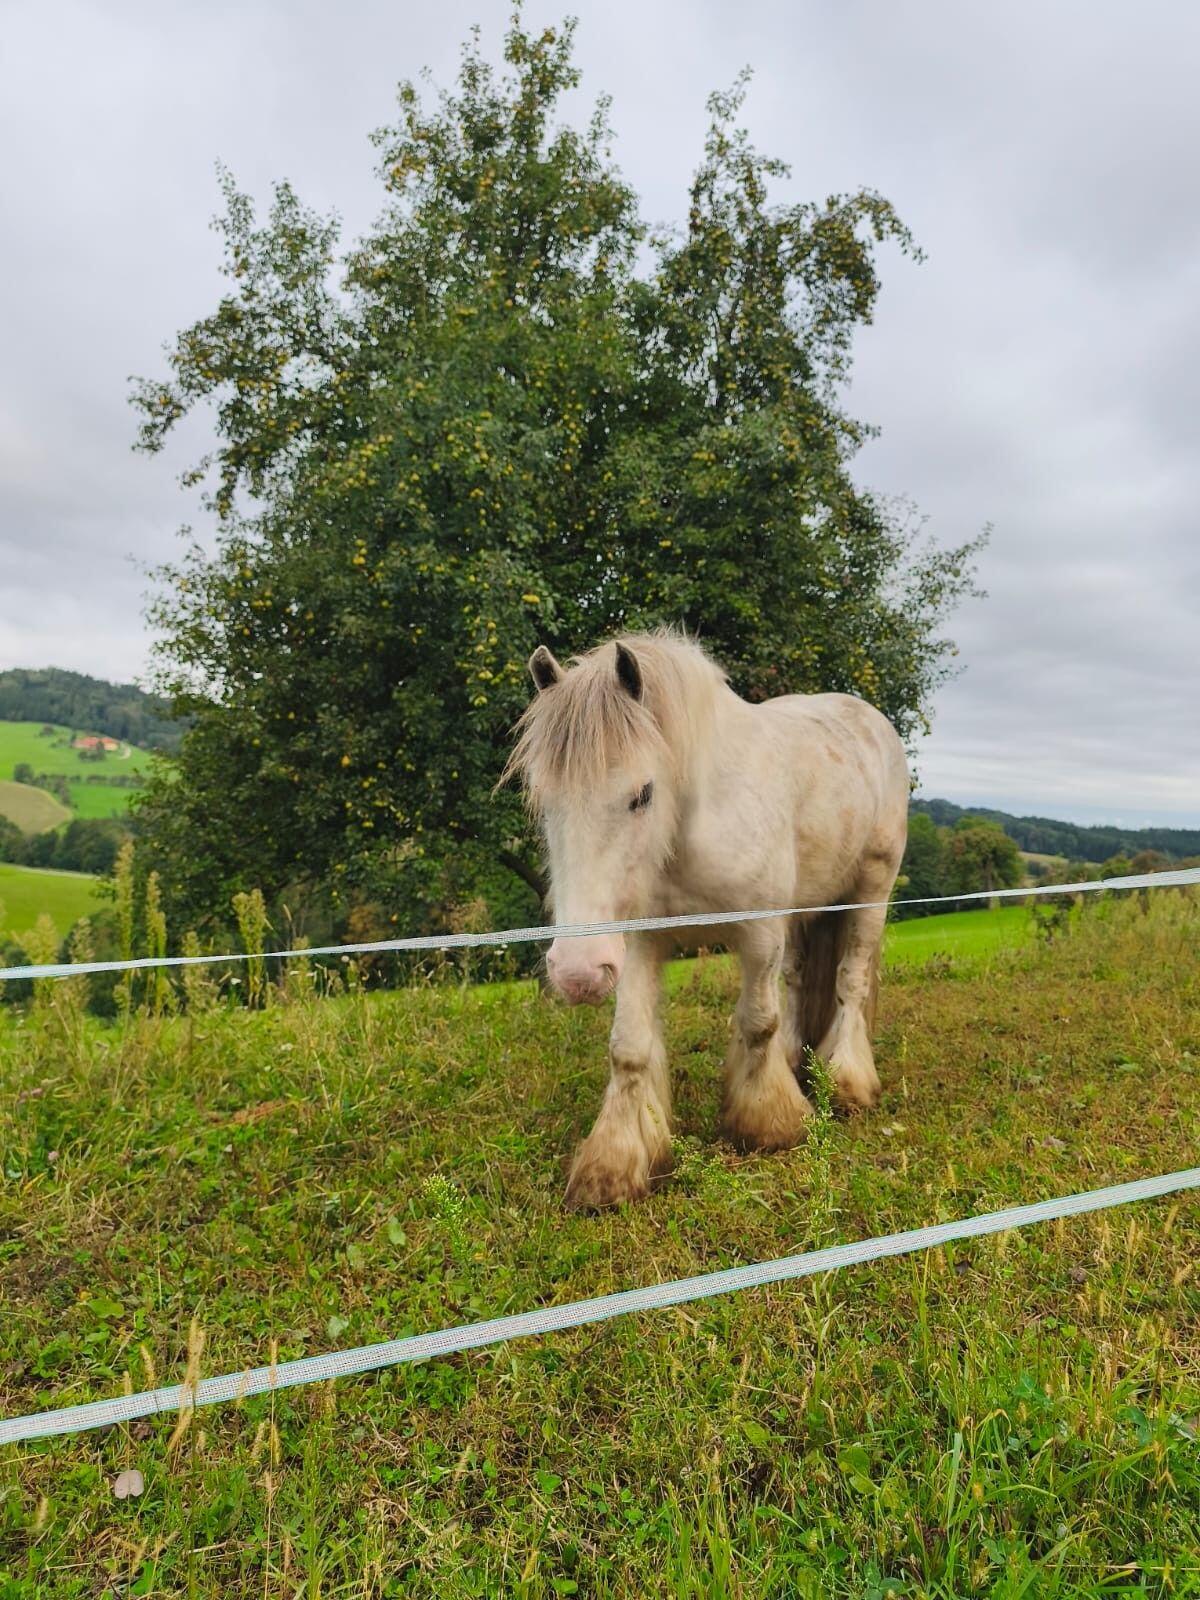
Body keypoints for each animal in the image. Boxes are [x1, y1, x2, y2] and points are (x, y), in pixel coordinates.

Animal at [503, 630, 910, 1210]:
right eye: (542, 799)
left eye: (643, 793)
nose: (577, 973)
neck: (691, 825)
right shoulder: (638, 943)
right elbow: (629, 1048)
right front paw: (615, 1164)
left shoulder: (759, 934)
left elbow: (758, 1022)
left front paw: (769, 1124)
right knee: (798, 985)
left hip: (869, 892)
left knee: (849, 982)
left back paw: (848, 1082)